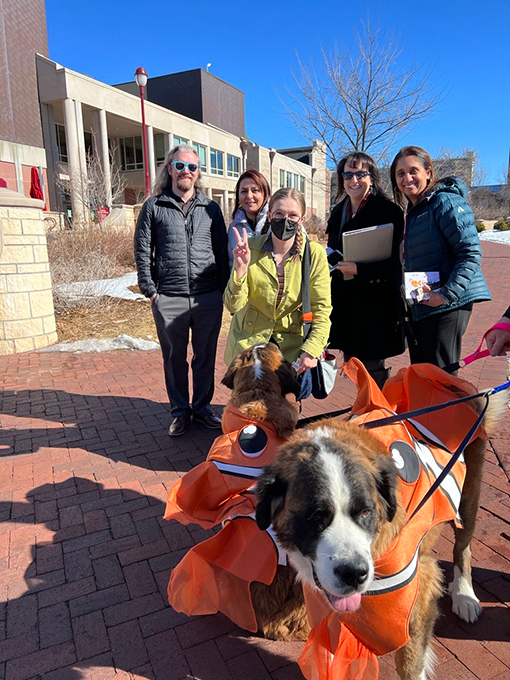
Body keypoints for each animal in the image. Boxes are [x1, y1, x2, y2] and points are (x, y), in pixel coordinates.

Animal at [256, 370, 504, 676]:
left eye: (365, 512)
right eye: (316, 516)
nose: (354, 574)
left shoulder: (417, 591)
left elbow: (410, 662)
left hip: (468, 495)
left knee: (463, 546)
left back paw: (464, 595)